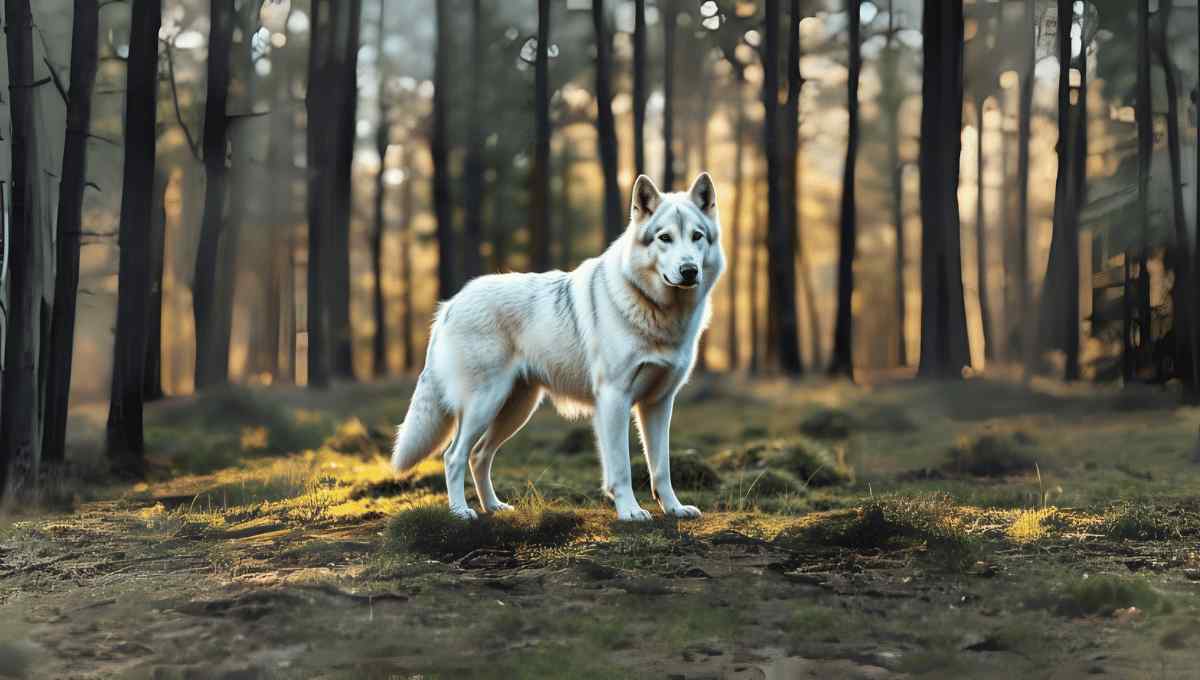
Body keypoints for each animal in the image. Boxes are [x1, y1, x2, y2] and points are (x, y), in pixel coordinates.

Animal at [391, 172, 720, 518]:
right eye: (664, 238)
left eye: (697, 236)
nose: (689, 271)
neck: (659, 312)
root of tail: (450, 304)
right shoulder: (614, 400)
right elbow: (621, 468)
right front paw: (630, 512)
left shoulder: (659, 403)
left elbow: (661, 468)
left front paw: (674, 509)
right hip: (485, 405)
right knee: (453, 456)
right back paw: (461, 512)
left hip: (515, 409)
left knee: (479, 455)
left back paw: (493, 506)